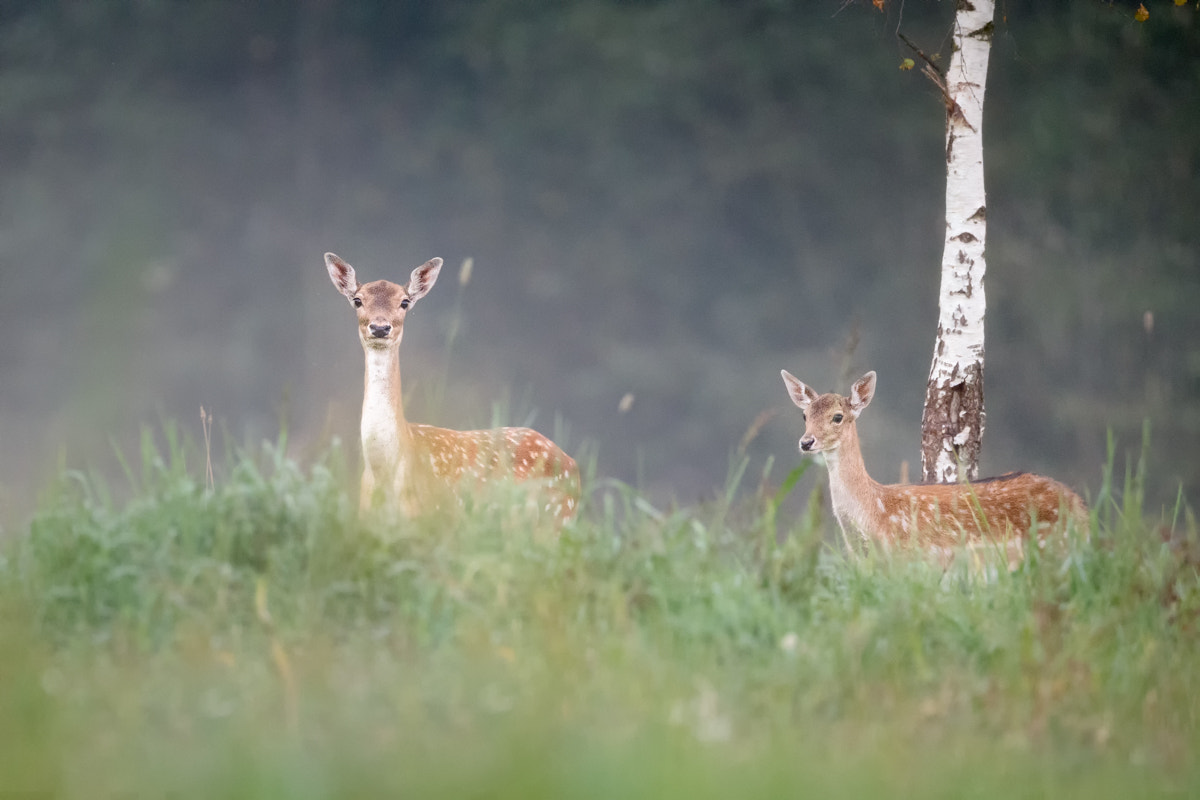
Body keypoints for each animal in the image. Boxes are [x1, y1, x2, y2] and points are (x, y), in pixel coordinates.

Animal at [324, 253, 576, 522]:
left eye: (404, 302)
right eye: (357, 300)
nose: (380, 327)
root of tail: (575, 466)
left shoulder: (434, 519)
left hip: (558, 517)